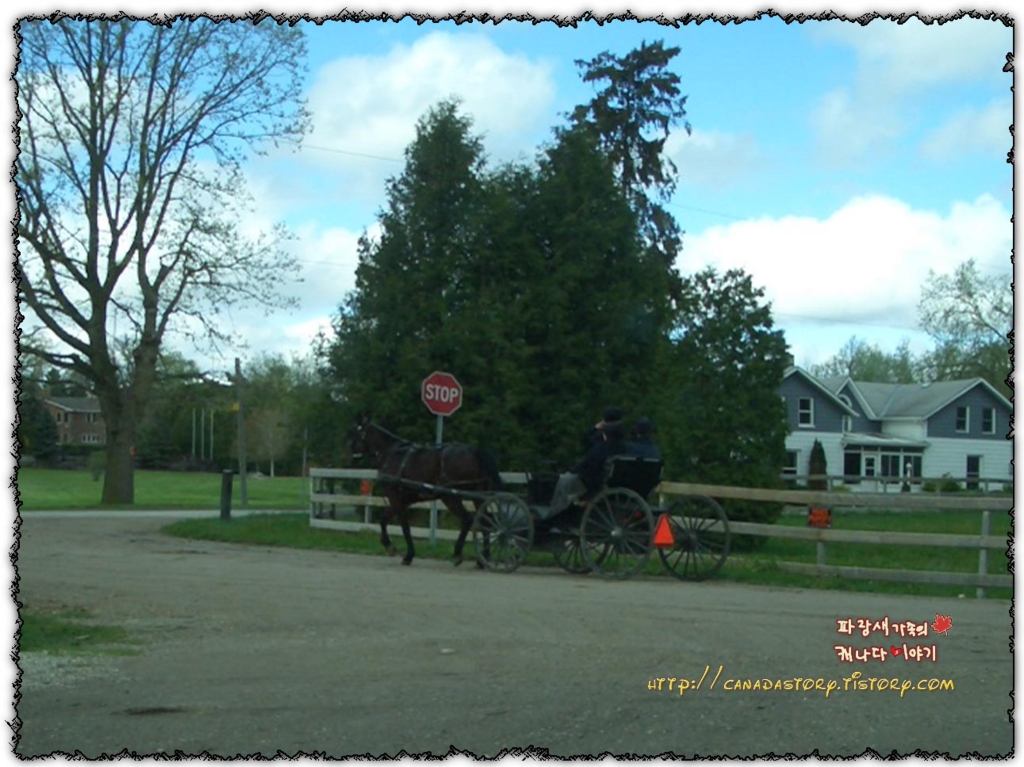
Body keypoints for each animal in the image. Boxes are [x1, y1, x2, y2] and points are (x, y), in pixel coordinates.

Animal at [346, 415, 501, 565]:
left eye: (356, 432)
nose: (349, 452)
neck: (391, 454)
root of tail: (474, 451)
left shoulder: (395, 498)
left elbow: (404, 527)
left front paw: (406, 554)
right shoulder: (400, 501)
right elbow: (384, 521)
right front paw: (391, 546)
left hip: (450, 497)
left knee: (468, 520)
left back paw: (458, 554)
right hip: (477, 495)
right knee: (485, 522)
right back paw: (483, 558)